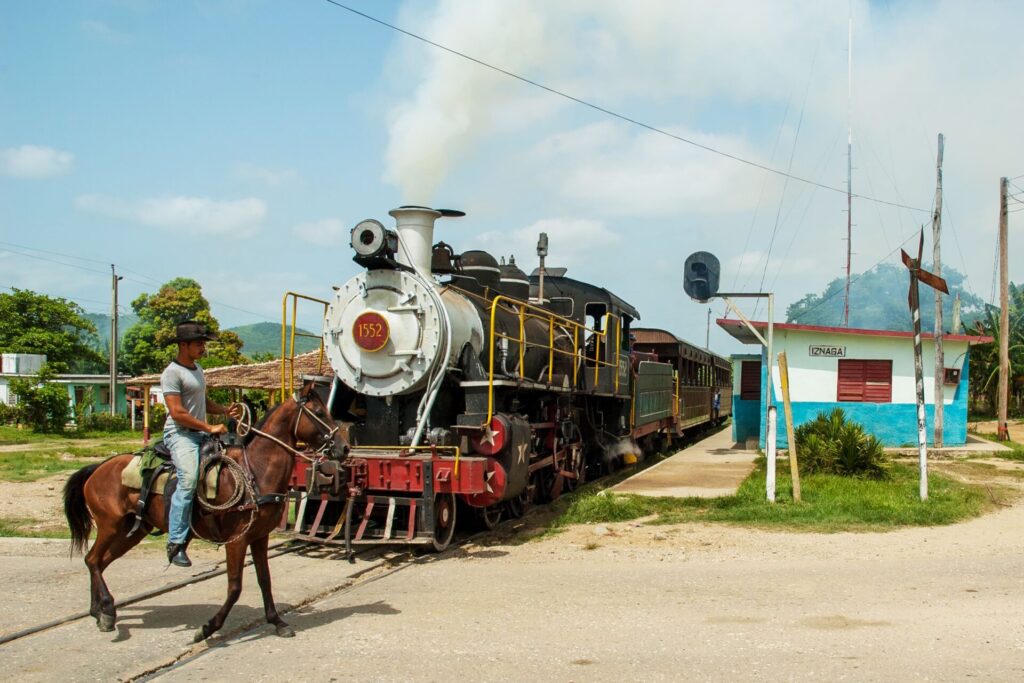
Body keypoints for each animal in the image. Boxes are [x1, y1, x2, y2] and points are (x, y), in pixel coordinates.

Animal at [61, 382, 337, 643]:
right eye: (319, 412)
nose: (342, 447)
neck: (255, 472)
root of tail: (98, 467)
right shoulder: (236, 541)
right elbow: (235, 586)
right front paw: (207, 628)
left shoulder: (259, 537)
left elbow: (265, 580)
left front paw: (277, 622)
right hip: (110, 525)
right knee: (93, 560)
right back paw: (107, 611)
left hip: (133, 530)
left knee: (98, 562)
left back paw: (99, 611)